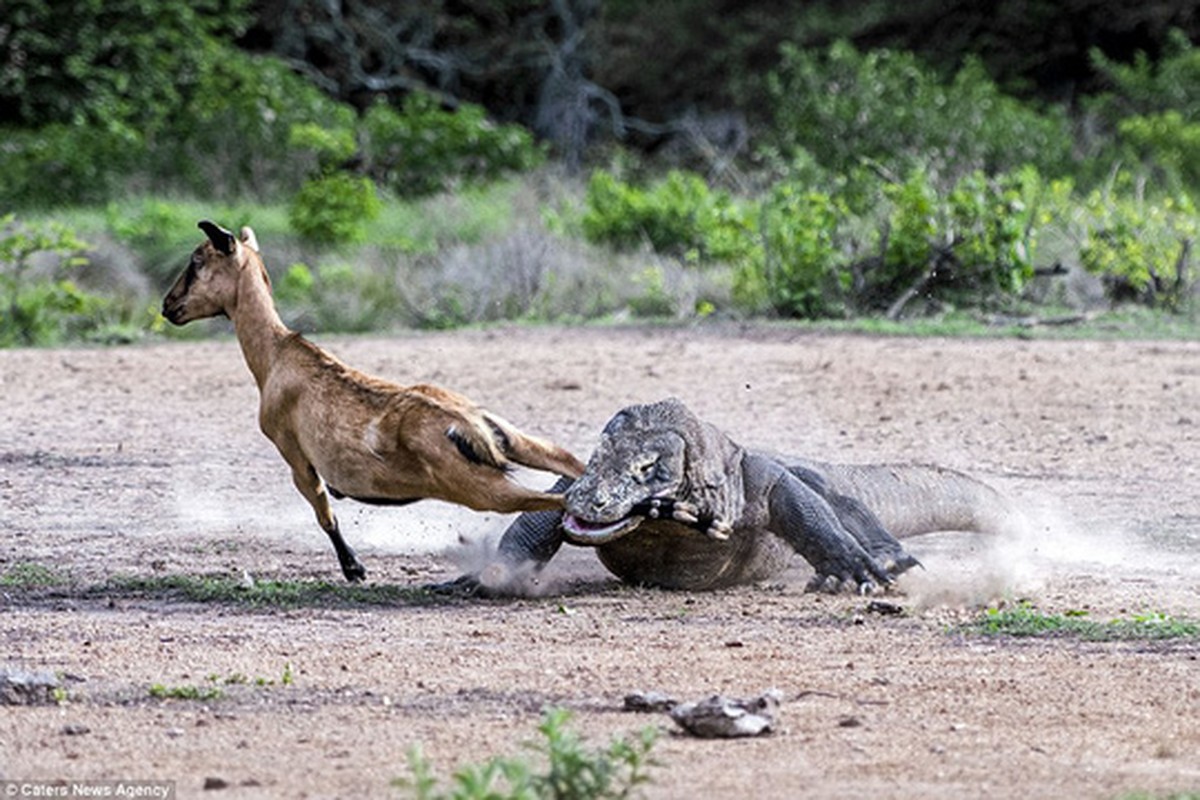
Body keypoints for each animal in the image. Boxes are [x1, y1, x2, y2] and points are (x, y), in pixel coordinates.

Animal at [160, 219, 585, 582]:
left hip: (481, 490)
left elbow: (325, 513)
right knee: (570, 463)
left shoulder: (295, 455)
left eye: (197, 260)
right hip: (514, 441)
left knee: (563, 500)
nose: (168, 305)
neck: (276, 356)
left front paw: (354, 569)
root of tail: (468, 425)